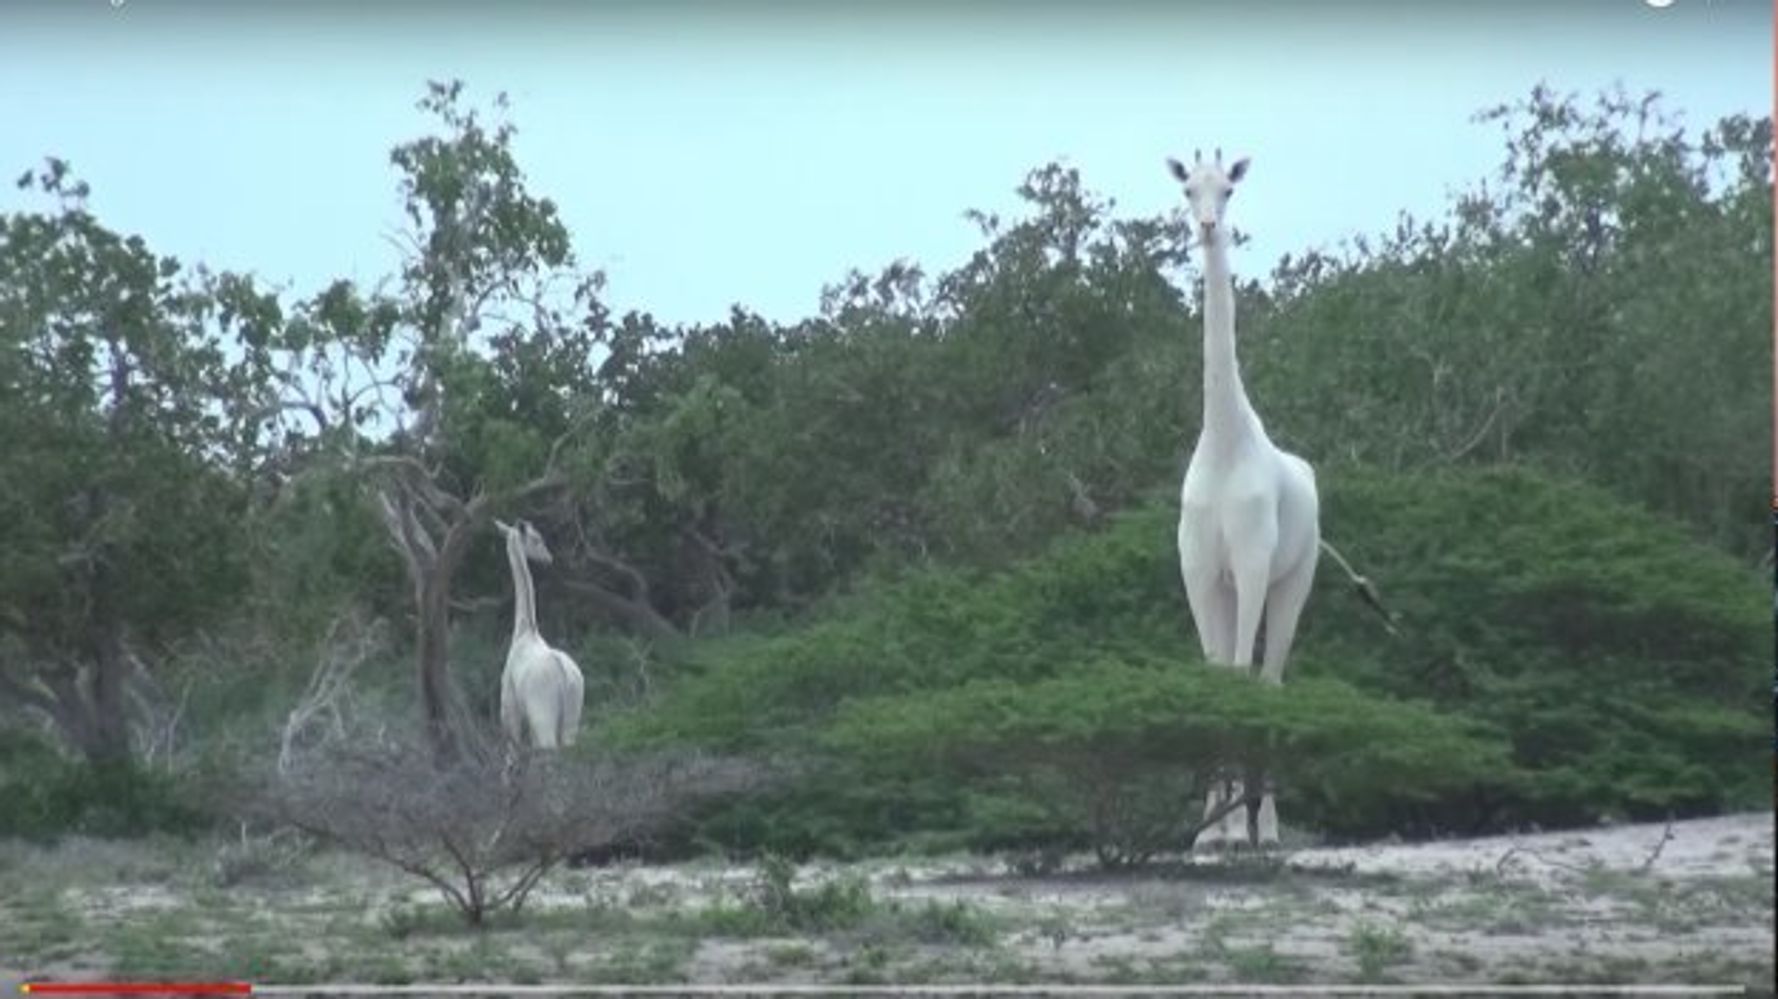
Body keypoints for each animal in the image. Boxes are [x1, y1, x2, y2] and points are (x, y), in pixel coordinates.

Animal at [497, 522, 586, 746]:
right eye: (536, 539)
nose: (548, 558)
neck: (524, 631)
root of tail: (565, 675)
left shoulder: (510, 709)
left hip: (543, 714)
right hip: (572, 717)